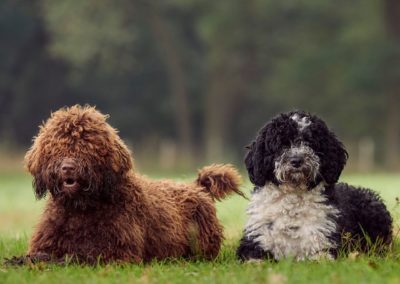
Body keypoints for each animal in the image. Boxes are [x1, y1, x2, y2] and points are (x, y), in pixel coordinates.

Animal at [22, 105, 244, 264]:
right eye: (56, 145)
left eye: (88, 145)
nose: (68, 167)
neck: (81, 210)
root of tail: (197, 186)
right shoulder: (45, 244)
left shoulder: (119, 253)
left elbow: (78, 258)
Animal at [239, 111, 392, 262]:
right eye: (281, 144)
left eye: (310, 143)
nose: (296, 160)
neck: (293, 203)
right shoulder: (256, 240)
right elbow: (254, 260)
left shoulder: (323, 242)